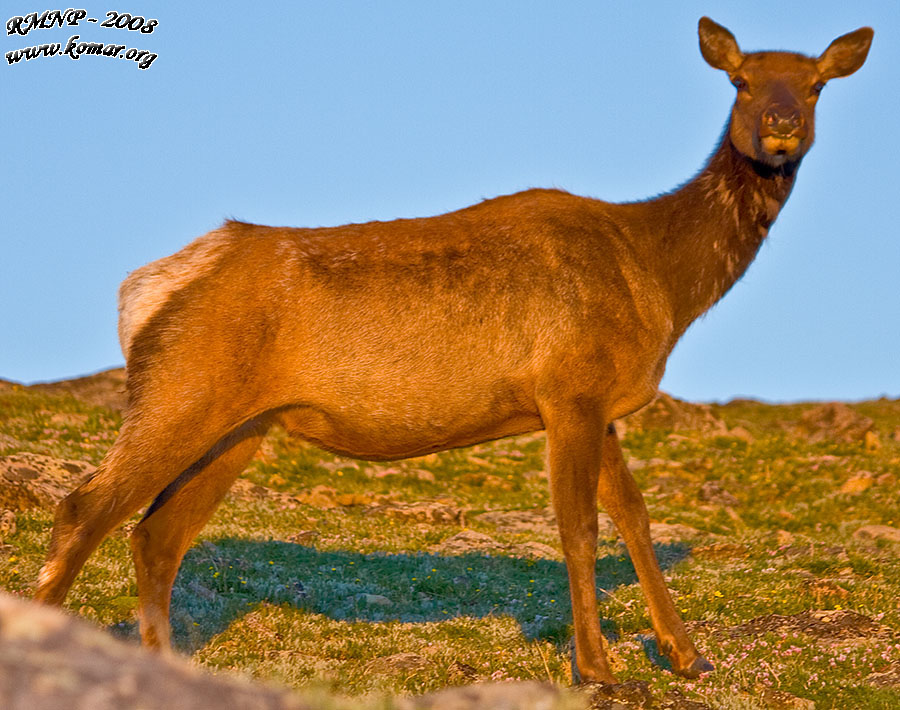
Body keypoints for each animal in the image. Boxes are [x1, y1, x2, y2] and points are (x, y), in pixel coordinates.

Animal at [35, 16, 872, 684]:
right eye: (740, 80)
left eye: (816, 87)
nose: (780, 126)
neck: (660, 282)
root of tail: (145, 287)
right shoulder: (568, 387)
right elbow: (579, 528)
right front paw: (599, 670)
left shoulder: (602, 402)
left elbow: (636, 520)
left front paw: (689, 655)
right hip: (180, 386)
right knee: (83, 509)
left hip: (238, 424)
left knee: (155, 535)